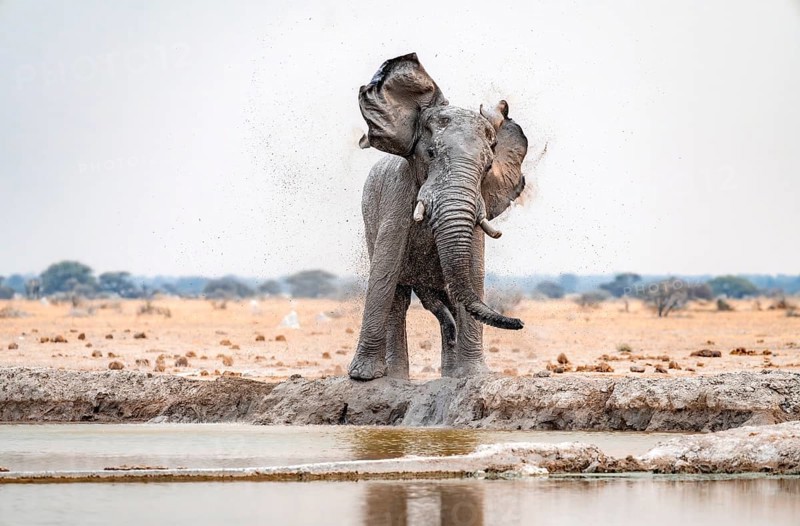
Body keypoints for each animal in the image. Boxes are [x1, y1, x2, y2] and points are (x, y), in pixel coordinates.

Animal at [348, 53, 533, 381]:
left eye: (487, 167)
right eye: (431, 154)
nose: (520, 323)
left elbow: (473, 270)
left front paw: (473, 375)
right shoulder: (397, 195)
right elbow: (384, 273)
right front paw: (362, 378)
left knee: (446, 298)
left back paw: (449, 373)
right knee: (401, 298)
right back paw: (397, 378)